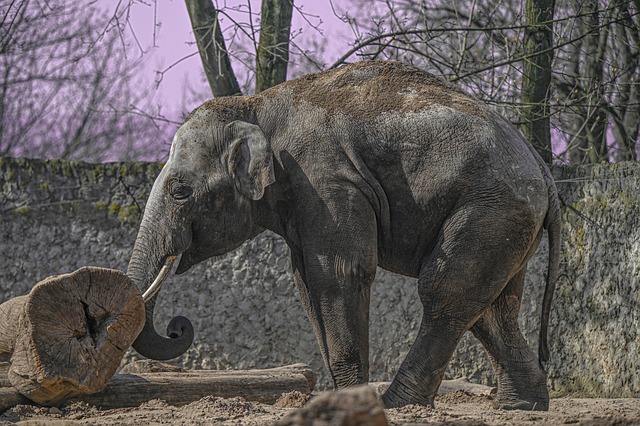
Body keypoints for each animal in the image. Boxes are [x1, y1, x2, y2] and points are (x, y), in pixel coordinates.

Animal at [129, 60, 560, 410]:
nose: (178, 326)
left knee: (444, 290)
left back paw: (399, 404)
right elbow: (306, 284)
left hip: (491, 207)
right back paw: (521, 406)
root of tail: (543, 168)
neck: (256, 106)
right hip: (507, 219)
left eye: (180, 191)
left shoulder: (325, 180)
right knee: (493, 304)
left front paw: (353, 400)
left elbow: (339, 274)